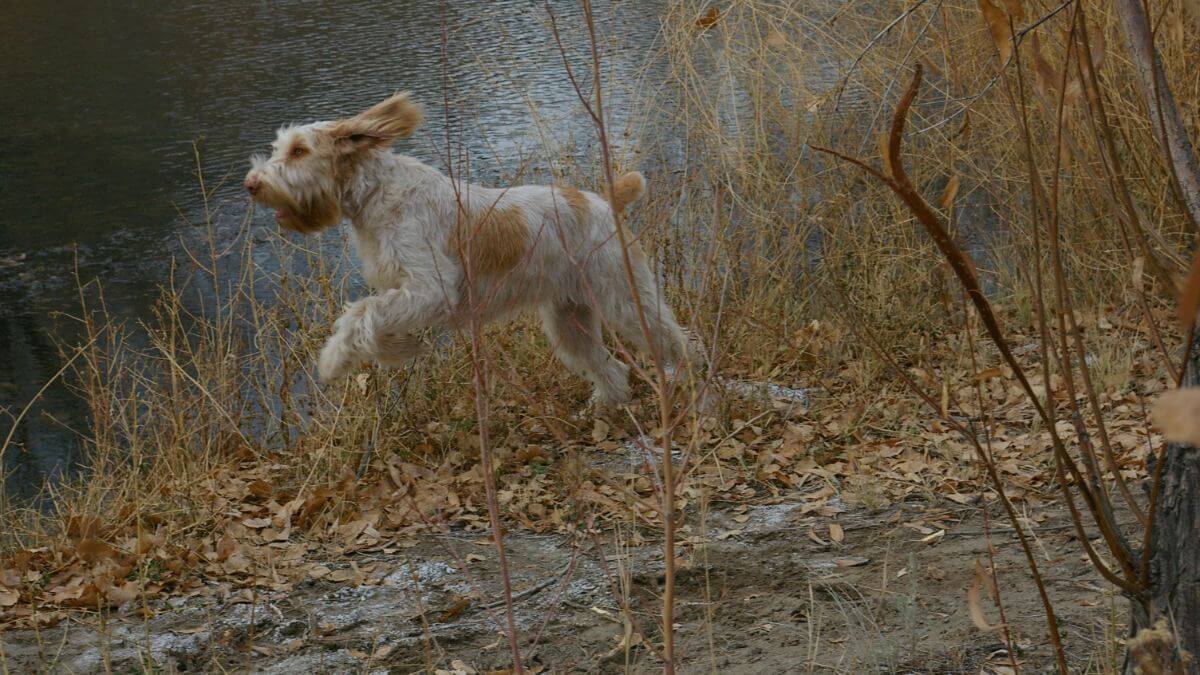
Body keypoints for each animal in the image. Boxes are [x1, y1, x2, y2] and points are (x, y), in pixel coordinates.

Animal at [243, 91, 696, 401]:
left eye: (299, 150)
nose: (252, 184)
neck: (377, 193)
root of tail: (602, 201)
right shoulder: (405, 294)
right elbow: (375, 320)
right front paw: (398, 349)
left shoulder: (430, 289)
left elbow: (362, 314)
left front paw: (333, 360)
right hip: (570, 320)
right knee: (611, 368)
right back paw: (606, 409)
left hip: (625, 301)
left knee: (678, 341)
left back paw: (693, 384)